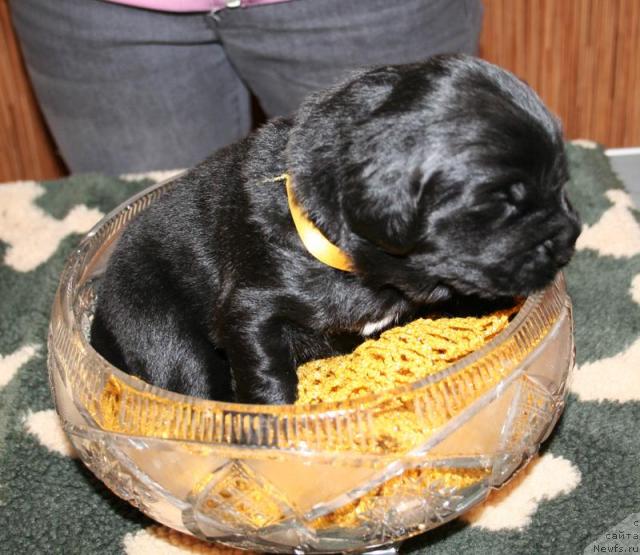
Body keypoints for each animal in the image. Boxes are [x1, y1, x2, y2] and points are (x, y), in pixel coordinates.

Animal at [90, 55, 580, 404]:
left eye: (561, 181)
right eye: (501, 203)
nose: (569, 240)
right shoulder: (251, 307)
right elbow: (266, 371)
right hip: (156, 321)